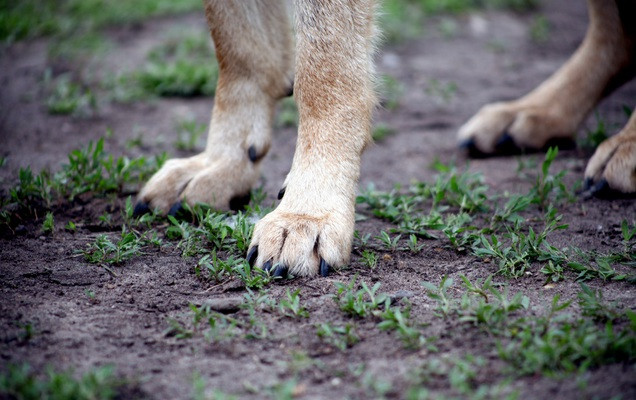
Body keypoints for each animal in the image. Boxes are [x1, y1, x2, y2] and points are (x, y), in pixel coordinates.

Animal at [133, 0, 632, 276]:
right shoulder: (238, 49)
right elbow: (236, 45)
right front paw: (221, 164)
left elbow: (324, 68)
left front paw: (307, 212)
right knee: (616, 36)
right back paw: (533, 113)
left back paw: (625, 149)